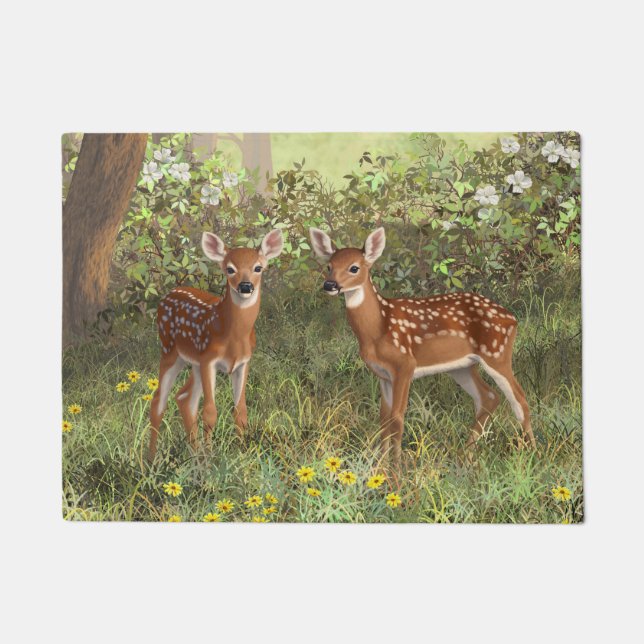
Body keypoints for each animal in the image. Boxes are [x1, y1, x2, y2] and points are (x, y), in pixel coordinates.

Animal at [148, 228, 284, 460]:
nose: (245, 286)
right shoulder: (209, 360)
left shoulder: (243, 363)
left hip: (193, 362)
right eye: (230, 269)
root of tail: (168, 295)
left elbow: (240, 411)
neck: (233, 336)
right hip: (169, 351)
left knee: (184, 398)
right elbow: (210, 412)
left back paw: (194, 455)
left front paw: (242, 453)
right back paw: (150, 460)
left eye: (258, 267)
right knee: (159, 401)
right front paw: (212, 457)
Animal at [309, 226, 535, 469]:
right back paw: (465, 457)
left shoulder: (405, 365)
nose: (329, 285)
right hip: (462, 366)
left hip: (497, 353)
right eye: (329, 266)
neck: (378, 328)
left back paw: (533, 453)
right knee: (489, 397)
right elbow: (383, 419)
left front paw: (396, 470)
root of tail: (513, 318)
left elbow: (397, 418)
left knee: (520, 400)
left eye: (354, 268)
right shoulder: (383, 374)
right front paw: (379, 467)